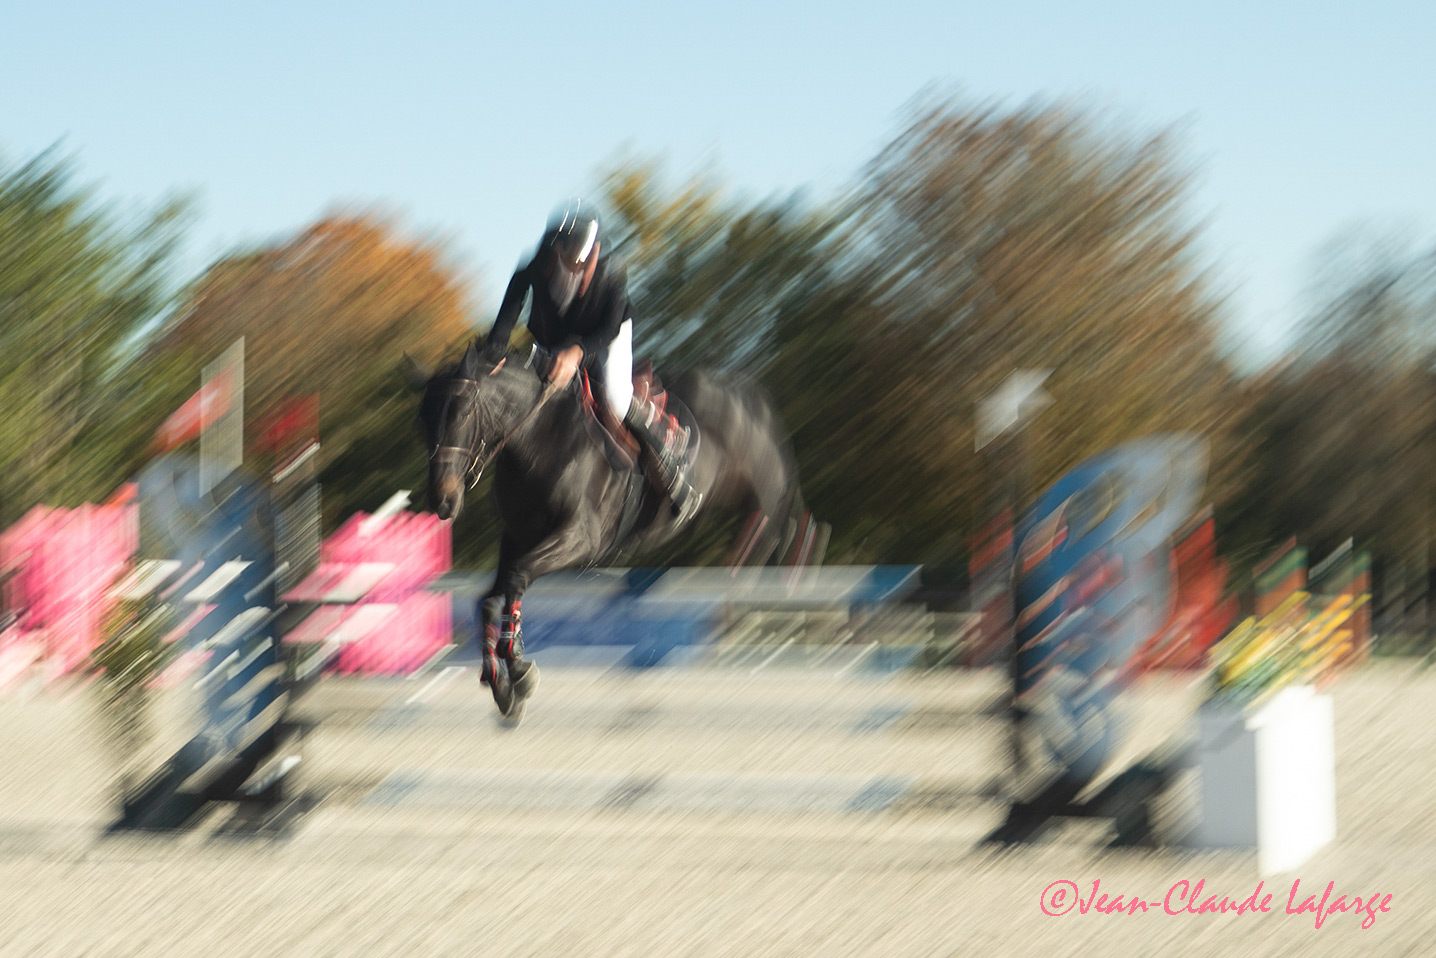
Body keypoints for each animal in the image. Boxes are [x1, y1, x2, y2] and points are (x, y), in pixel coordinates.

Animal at [416, 340, 821, 723]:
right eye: (424, 419)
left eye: (462, 412)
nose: (443, 501)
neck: (537, 439)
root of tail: (747, 391)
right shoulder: (517, 538)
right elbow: (488, 600)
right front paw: (503, 689)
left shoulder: (581, 539)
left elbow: (517, 578)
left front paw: (517, 667)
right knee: (780, 529)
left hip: (762, 489)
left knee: (770, 529)